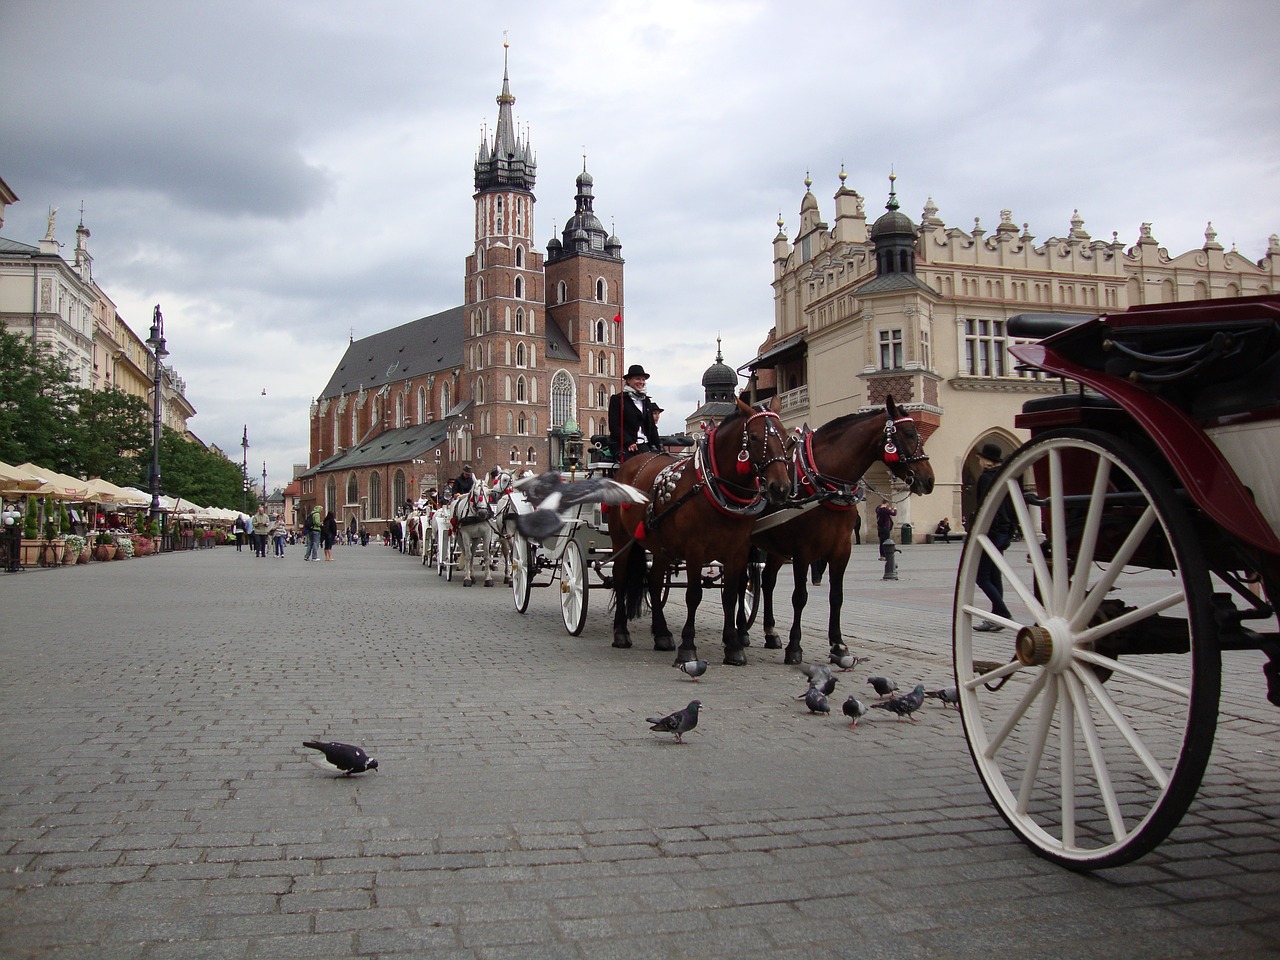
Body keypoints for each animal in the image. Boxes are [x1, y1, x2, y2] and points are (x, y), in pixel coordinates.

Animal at [609, 396, 788, 660]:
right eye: (754, 437)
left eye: (785, 435)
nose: (781, 488)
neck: (712, 485)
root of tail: (627, 464)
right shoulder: (695, 550)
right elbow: (693, 595)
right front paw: (688, 647)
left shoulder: (738, 551)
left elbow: (731, 595)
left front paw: (733, 646)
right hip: (621, 539)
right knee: (621, 579)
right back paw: (621, 632)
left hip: (660, 547)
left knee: (654, 582)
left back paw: (662, 634)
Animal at [752, 394, 936, 665]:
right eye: (910, 434)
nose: (929, 480)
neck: (823, 482)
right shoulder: (803, 551)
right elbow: (799, 596)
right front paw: (794, 647)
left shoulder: (841, 550)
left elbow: (836, 596)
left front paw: (838, 646)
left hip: (775, 548)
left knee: (767, 582)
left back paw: (770, 632)